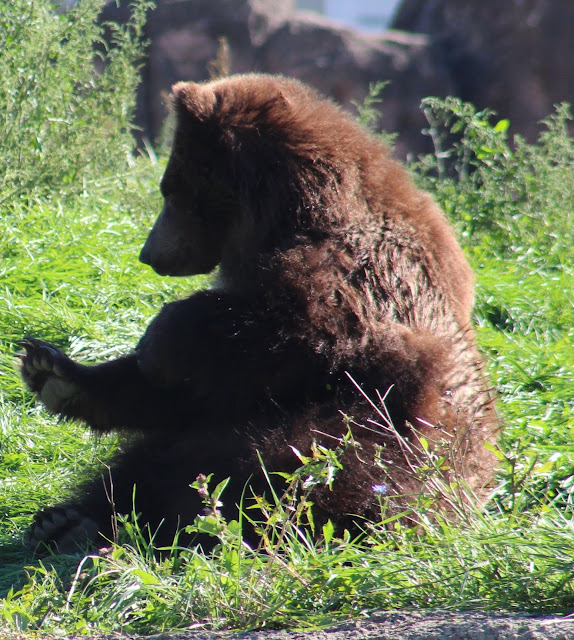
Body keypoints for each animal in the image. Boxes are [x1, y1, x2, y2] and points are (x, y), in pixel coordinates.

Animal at [18, 74, 500, 556]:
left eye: (169, 188)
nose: (148, 253)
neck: (288, 216)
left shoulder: (360, 280)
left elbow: (294, 331)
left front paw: (157, 339)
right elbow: (199, 389)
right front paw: (54, 370)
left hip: (401, 449)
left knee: (321, 467)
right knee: (151, 466)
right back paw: (68, 520)